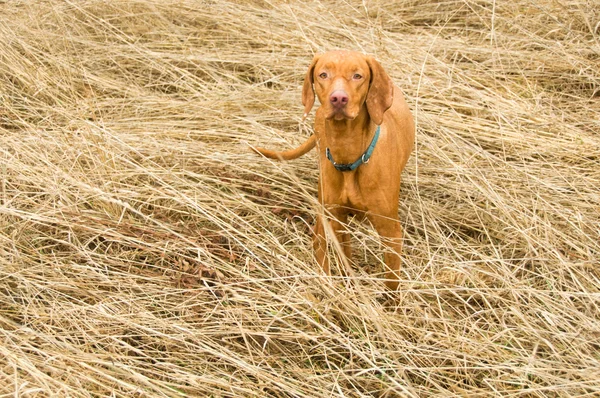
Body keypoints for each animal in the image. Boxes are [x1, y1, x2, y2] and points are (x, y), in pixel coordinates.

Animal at [252, 50, 412, 290]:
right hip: (324, 204)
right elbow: (344, 260)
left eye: (357, 76)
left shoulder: (391, 232)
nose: (338, 99)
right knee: (319, 238)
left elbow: (392, 285)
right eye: (323, 74)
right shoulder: (337, 218)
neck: (350, 154)